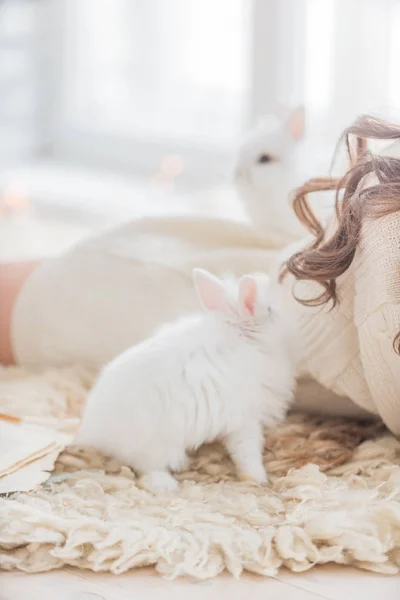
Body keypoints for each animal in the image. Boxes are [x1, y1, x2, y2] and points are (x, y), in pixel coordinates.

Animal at [75, 270, 296, 492]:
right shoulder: (246, 420)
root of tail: (92, 434)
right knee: (147, 468)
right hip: (158, 446)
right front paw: (259, 479)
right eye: (271, 310)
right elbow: (247, 453)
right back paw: (167, 485)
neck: (245, 340)